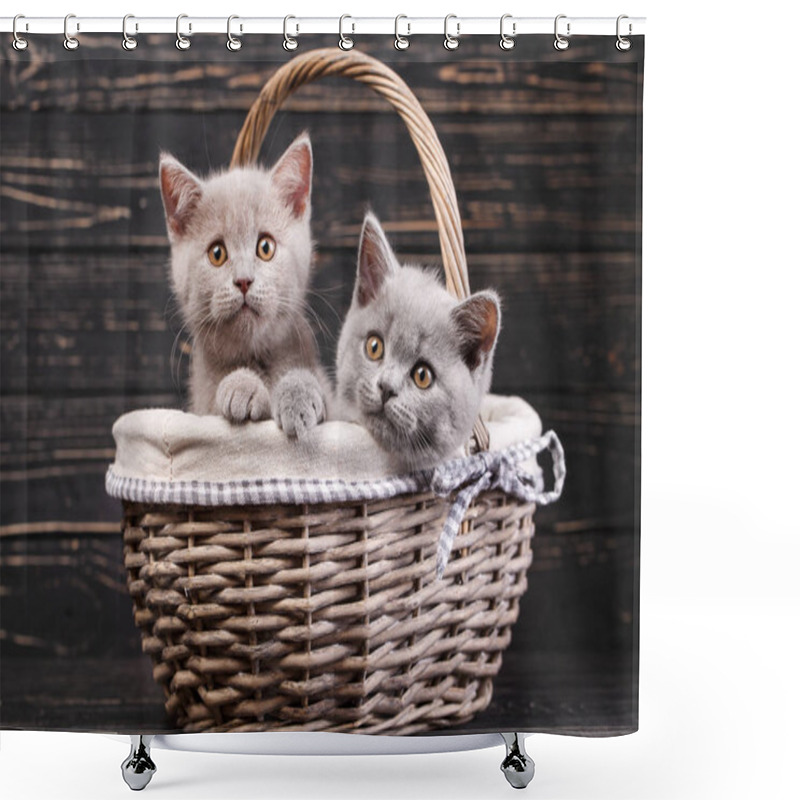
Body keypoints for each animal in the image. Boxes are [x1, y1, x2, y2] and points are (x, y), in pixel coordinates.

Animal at [161, 135, 330, 440]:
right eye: (217, 253)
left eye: (265, 247)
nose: (243, 280)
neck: (256, 357)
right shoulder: (201, 408)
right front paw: (241, 386)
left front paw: (298, 395)